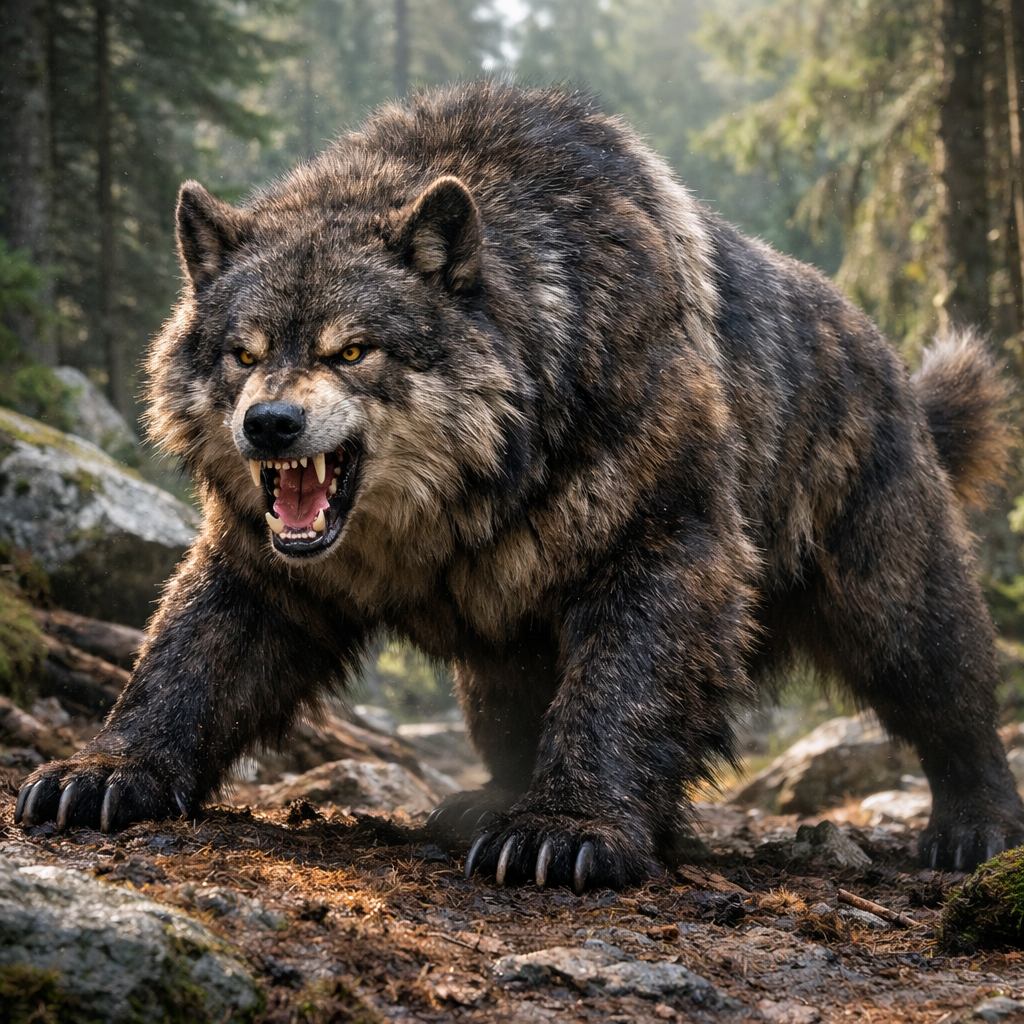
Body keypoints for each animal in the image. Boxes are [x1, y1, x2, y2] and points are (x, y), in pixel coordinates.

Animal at [16, 81, 1024, 891]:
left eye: (352, 350)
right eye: (244, 352)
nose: (269, 425)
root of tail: (893, 363)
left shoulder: (666, 542)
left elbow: (620, 693)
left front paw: (568, 828)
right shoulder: (265, 568)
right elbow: (182, 662)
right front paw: (105, 769)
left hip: (888, 598)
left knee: (953, 695)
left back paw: (977, 826)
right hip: (497, 648)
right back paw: (482, 801)